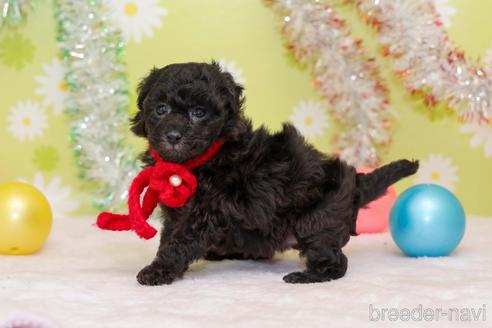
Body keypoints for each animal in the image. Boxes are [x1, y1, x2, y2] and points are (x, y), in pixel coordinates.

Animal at [131, 61, 418, 284]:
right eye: (161, 109)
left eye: (199, 113)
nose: (173, 136)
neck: (197, 160)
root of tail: (355, 183)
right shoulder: (177, 212)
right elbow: (170, 235)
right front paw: (161, 265)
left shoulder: (206, 211)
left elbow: (180, 241)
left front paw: (158, 270)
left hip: (316, 221)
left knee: (335, 259)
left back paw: (307, 276)